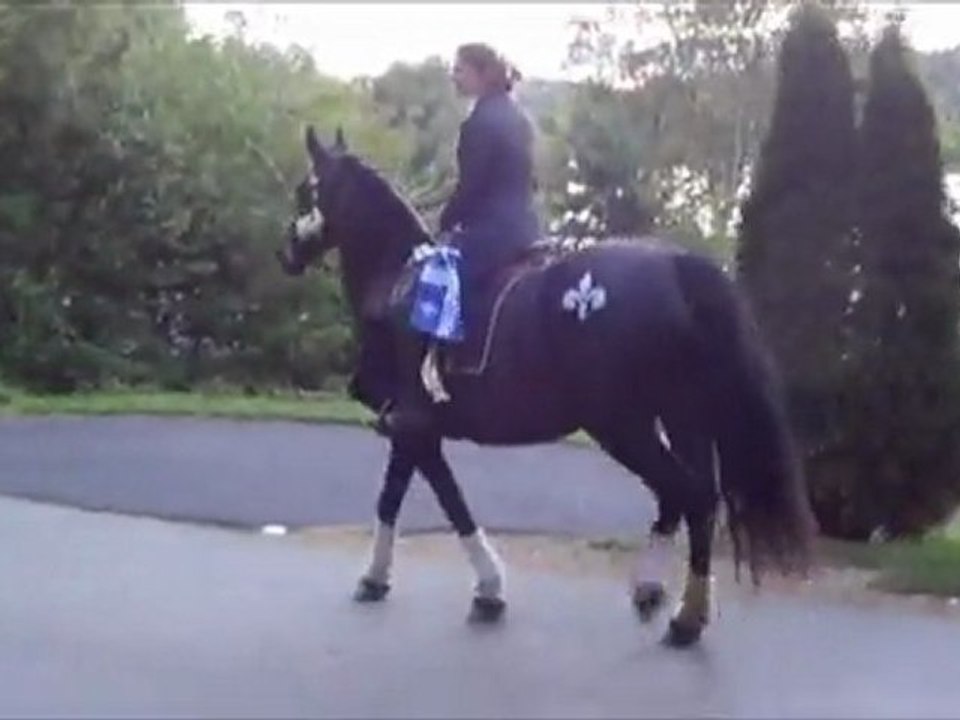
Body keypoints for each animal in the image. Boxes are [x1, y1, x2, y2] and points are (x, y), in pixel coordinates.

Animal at [276, 126, 816, 647]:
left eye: (306, 189)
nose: (285, 254)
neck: (398, 278)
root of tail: (676, 265)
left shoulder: (414, 428)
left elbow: (441, 503)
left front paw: (477, 588)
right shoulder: (413, 431)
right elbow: (400, 496)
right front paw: (392, 579)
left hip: (623, 426)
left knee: (690, 495)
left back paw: (684, 618)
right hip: (683, 420)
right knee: (689, 498)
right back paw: (663, 599)